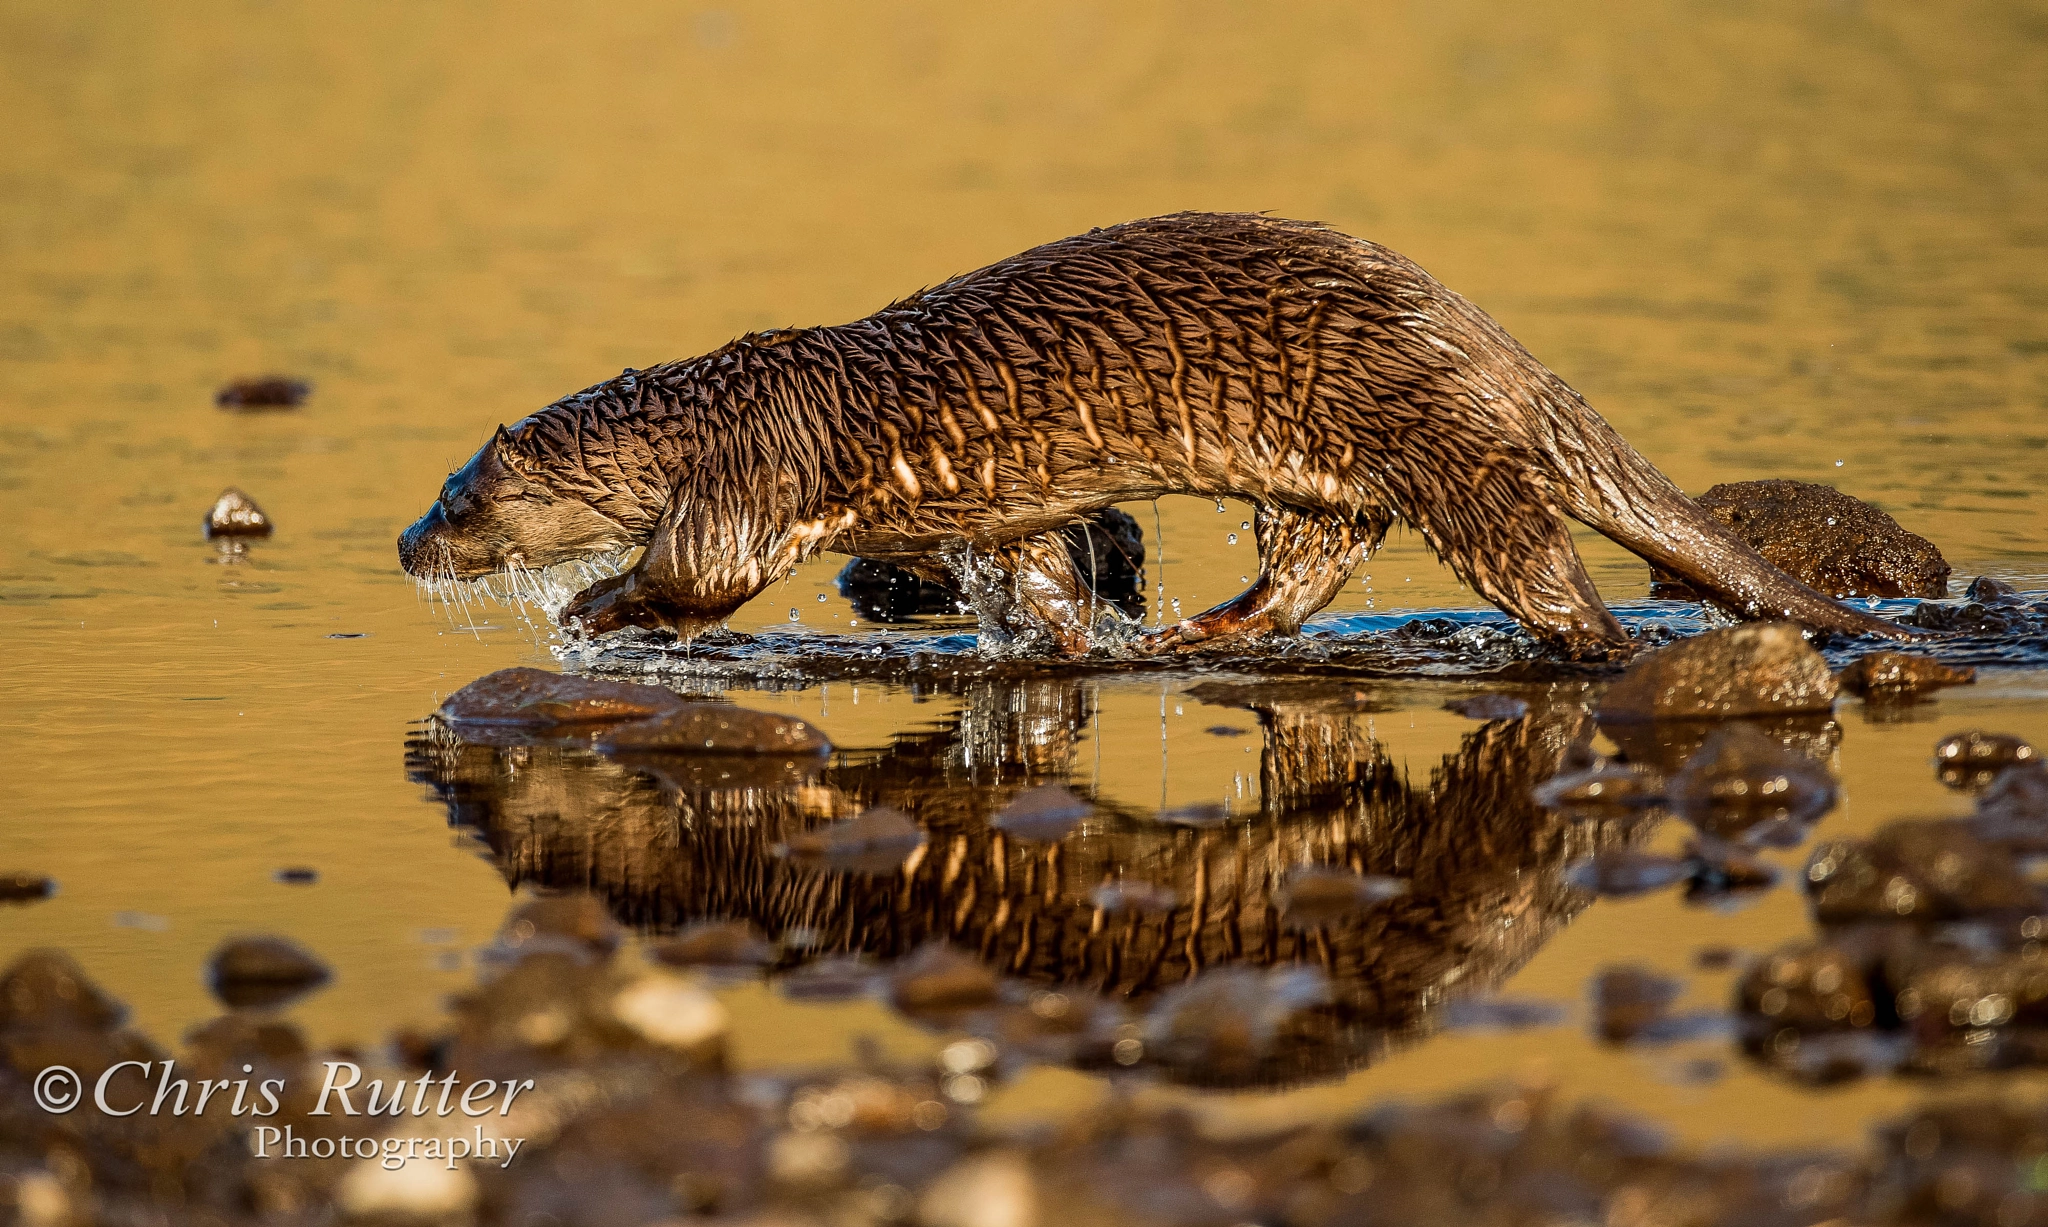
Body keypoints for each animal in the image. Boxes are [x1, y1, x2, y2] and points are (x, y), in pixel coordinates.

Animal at [395, 214, 1900, 651]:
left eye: (462, 498)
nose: (406, 543)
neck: (714, 410)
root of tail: (1479, 332)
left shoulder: (753, 474)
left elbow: (703, 573)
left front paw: (594, 604)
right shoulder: (993, 508)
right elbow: (1046, 577)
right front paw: (1074, 639)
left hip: (1431, 437)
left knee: (1535, 560)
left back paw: (1577, 647)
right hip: (1317, 475)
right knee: (1313, 561)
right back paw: (1203, 632)